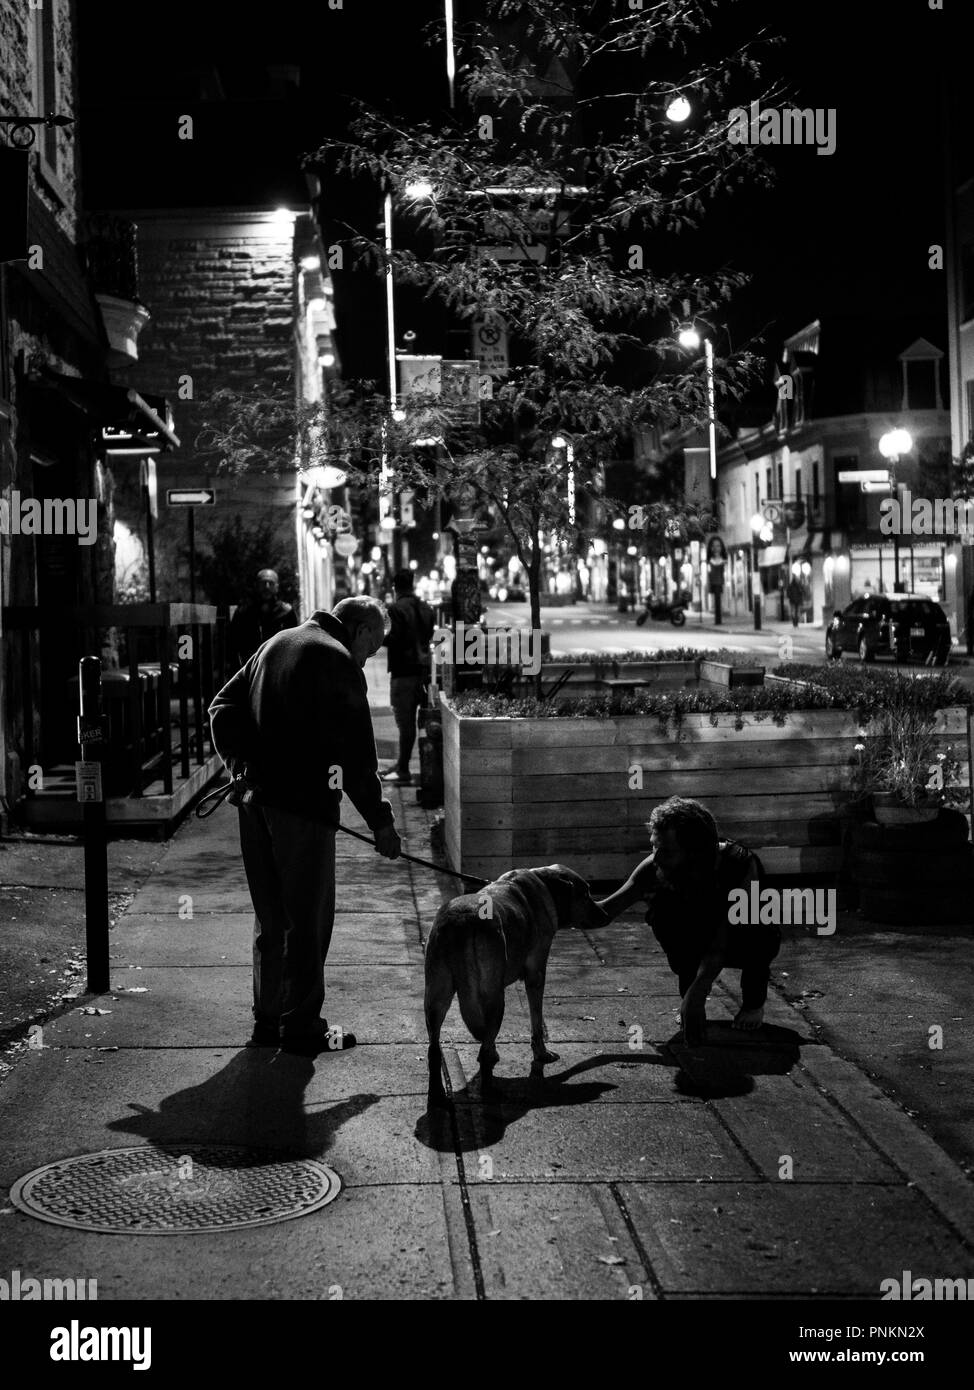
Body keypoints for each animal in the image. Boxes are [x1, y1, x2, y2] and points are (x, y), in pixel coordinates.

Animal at [425, 861, 608, 1112]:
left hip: (436, 997)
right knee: (484, 1051)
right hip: (494, 999)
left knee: (435, 1050)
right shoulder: (536, 975)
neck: (544, 884)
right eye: (585, 893)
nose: (606, 915)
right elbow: (536, 1021)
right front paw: (541, 1053)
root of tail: (461, 921)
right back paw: (490, 1093)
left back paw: (437, 1098)